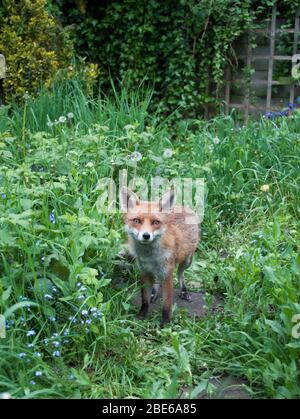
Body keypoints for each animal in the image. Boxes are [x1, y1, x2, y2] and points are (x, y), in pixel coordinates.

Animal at [119, 187, 199, 328]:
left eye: (155, 222)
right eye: (137, 220)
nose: (146, 235)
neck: (150, 257)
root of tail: (183, 207)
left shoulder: (167, 275)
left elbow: (167, 305)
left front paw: (165, 324)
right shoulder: (145, 272)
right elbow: (144, 300)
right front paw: (141, 316)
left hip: (187, 261)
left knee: (180, 273)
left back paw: (184, 291)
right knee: (157, 282)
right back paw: (154, 293)